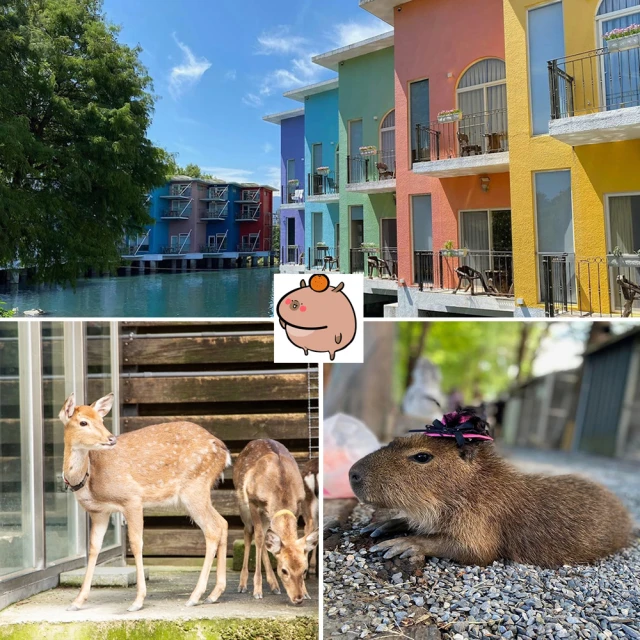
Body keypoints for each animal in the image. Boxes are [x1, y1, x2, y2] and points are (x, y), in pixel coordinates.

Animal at [58, 392, 231, 612]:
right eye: (83, 422)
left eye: (101, 420)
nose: (111, 438)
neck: (87, 477)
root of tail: (224, 452)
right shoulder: (99, 512)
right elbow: (94, 548)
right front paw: (78, 601)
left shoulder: (132, 498)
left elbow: (136, 543)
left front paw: (138, 600)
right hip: (199, 492)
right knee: (223, 523)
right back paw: (214, 594)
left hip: (195, 487)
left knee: (212, 529)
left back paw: (195, 596)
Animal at [234, 440, 318, 604]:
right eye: (284, 570)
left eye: (303, 570)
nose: (298, 598)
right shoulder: (253, 502)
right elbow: (258, 538)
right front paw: (257, 590)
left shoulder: (298, 505)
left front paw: (306, 592)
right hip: (242, 503)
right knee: (249, 533)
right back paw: (242, 585)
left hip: (267, 516)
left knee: (265, 537)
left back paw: (274, 585)